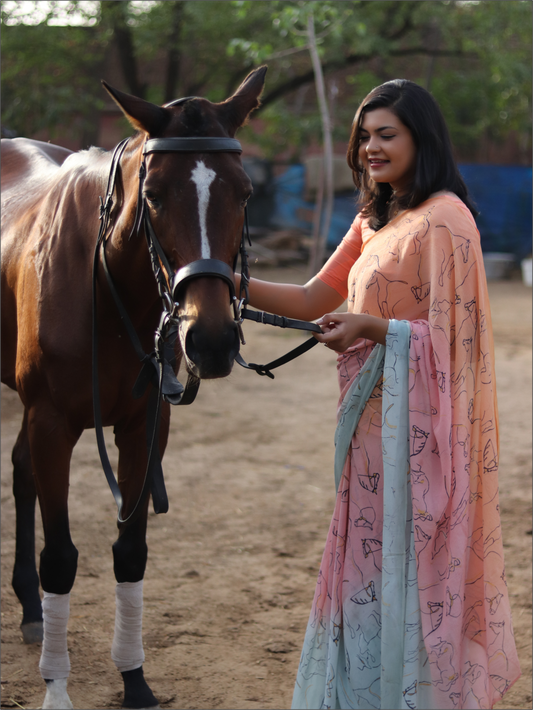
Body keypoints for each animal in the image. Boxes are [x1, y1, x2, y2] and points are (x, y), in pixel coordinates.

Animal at [0, 68, 266, 710]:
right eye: (154, 196)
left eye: (245, 192)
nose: (211, 339)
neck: (106, 284)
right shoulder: (52, 422)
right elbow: (61, 558)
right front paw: (57, 688)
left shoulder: (145, 424)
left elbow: (131, 551)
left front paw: (134, 679)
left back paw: (30, 610)